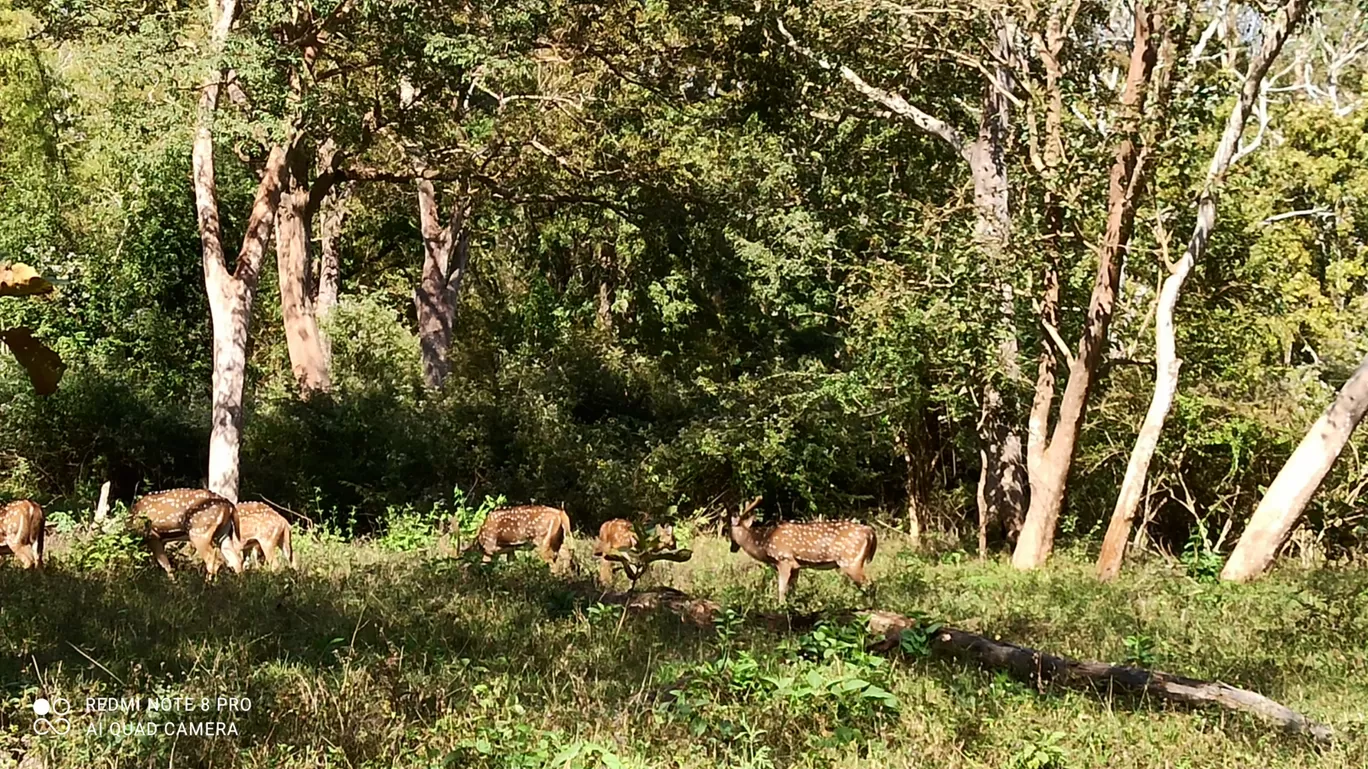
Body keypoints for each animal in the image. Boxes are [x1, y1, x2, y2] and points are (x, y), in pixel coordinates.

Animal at [727, 492, 875, 602]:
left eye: (728, 530)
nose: (732, 549)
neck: (764, 542)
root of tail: (870, 532)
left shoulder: (784, 559)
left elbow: (781, 589)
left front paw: (780, 607)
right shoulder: (796, 566)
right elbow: (792, 590)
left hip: (850, 561)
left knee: (869, 584)